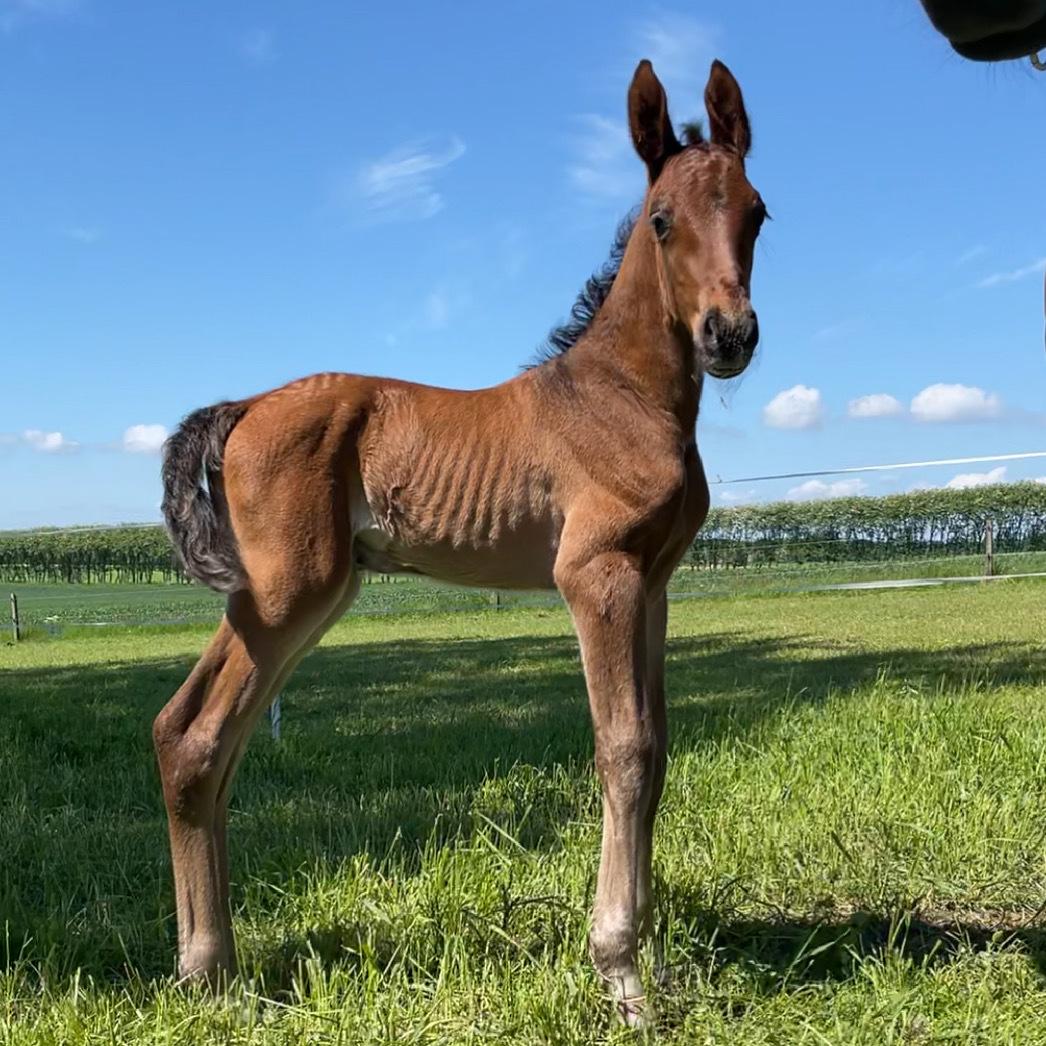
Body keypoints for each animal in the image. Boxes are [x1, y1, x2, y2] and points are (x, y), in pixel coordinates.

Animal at [152, 57, 769, 1020]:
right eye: (663, 219)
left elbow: (659, 749)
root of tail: (245, 405)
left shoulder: (656, 583)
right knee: (198, 736)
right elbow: (623, 748)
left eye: (756, 212)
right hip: (291, 590)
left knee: (196, 737)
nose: (729, 335)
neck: (623, 394)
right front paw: (621, 972)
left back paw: (209, 966)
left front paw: (654, 958)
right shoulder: (596, 575)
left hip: (295, 594)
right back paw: (211, 969)